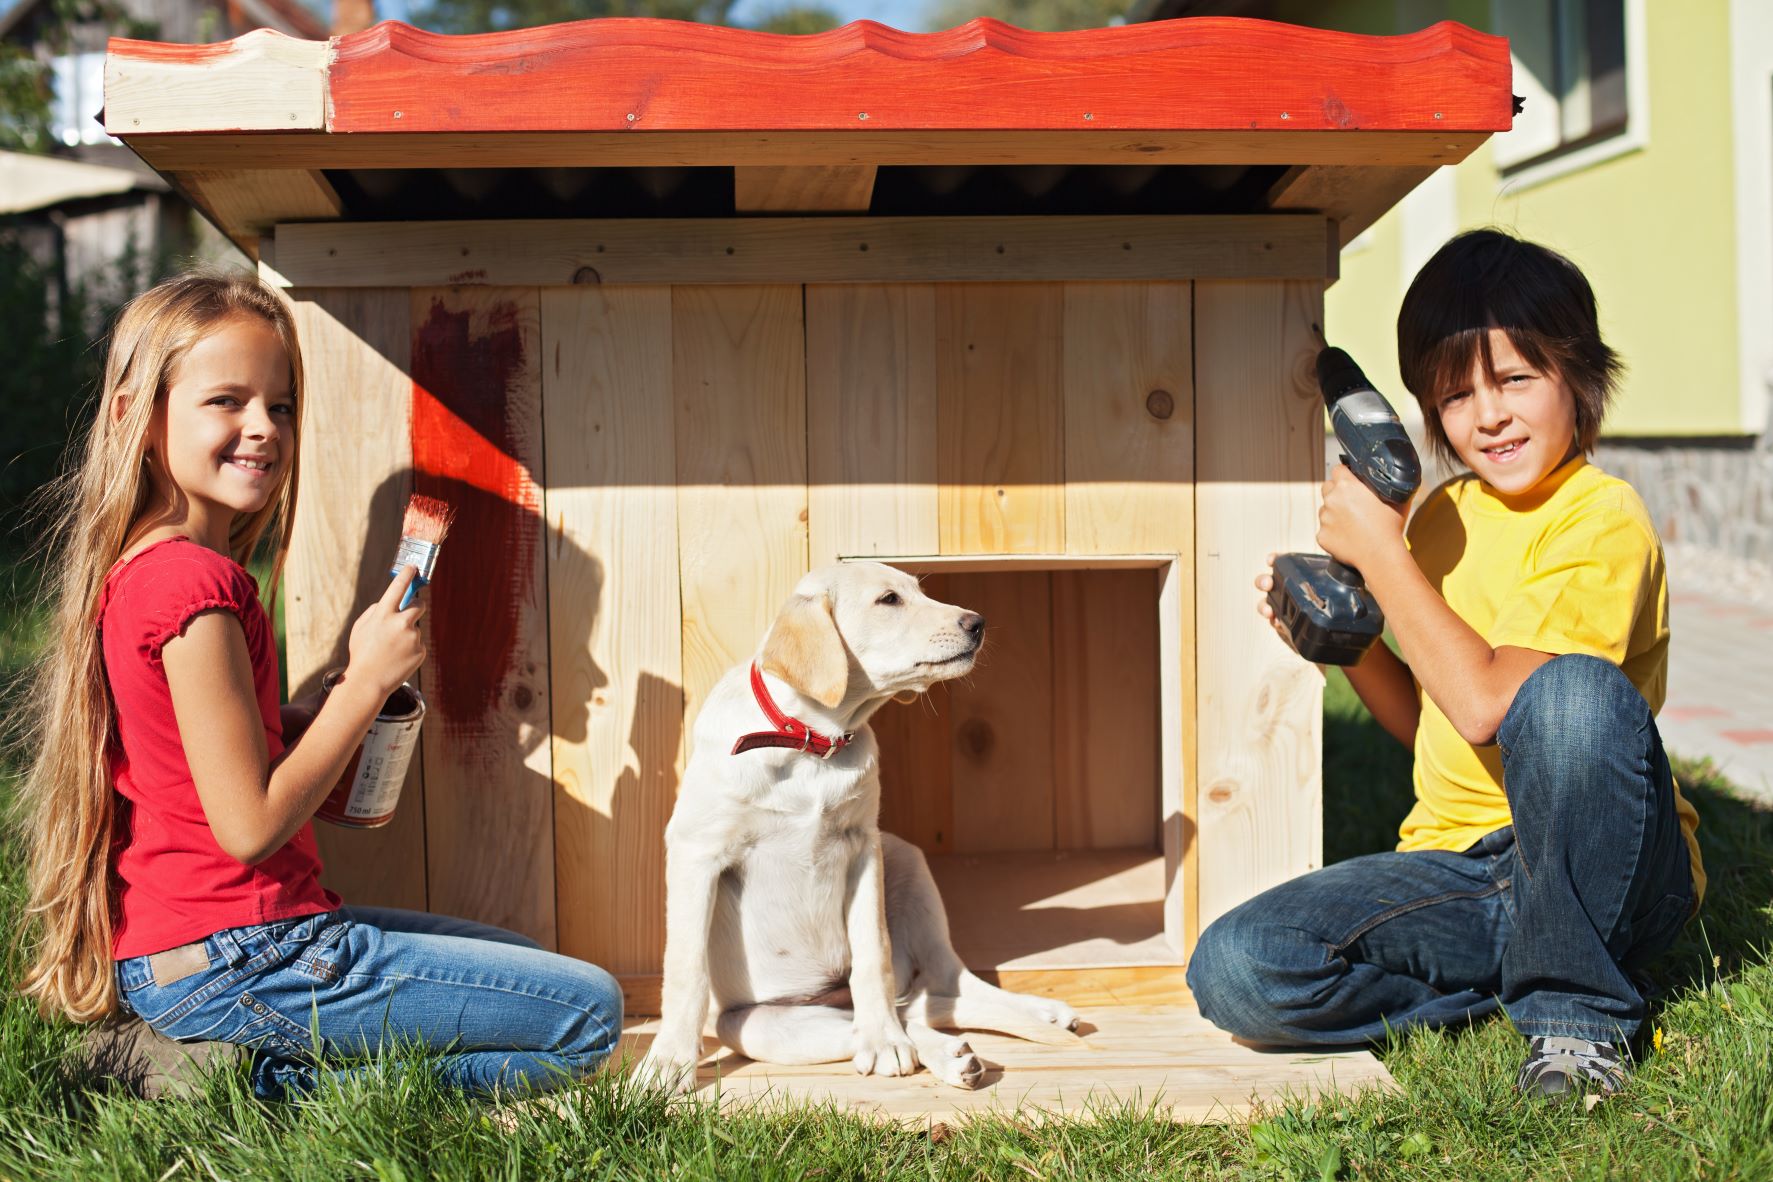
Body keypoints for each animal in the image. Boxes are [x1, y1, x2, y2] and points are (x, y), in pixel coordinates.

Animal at [638, 563, 1077, 1091]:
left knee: (945, 987)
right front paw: (670, 1060)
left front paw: (884, 1040)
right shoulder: (696, 853)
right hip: (759, 1026)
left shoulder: (864, 849)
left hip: (906, 859)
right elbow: (685, 968)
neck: (811, 742)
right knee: (901, 1019)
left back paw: (1027, 1016)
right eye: (889, 600)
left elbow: (873, 952)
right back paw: (947, 1053)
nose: (978, 623)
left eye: (920, 592)